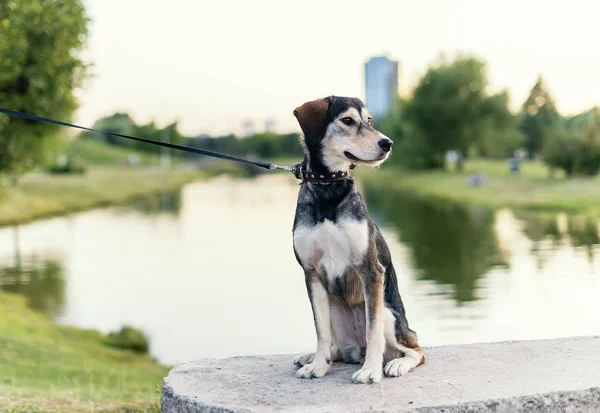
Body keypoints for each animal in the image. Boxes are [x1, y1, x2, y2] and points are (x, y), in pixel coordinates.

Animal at [290, 94, 422, 384]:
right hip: (332, 308)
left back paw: (396, 364)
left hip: (390, 316)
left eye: (369, 120)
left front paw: (371, 371)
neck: (328, 188)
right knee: (335, 347)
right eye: (348, 120)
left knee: (416, 350)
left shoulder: (370, 268)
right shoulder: (311, 273)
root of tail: (355, 351)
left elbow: (373, 330)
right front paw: (318, 365)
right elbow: (320, 330)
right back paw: (314, 357)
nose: (387, 143)